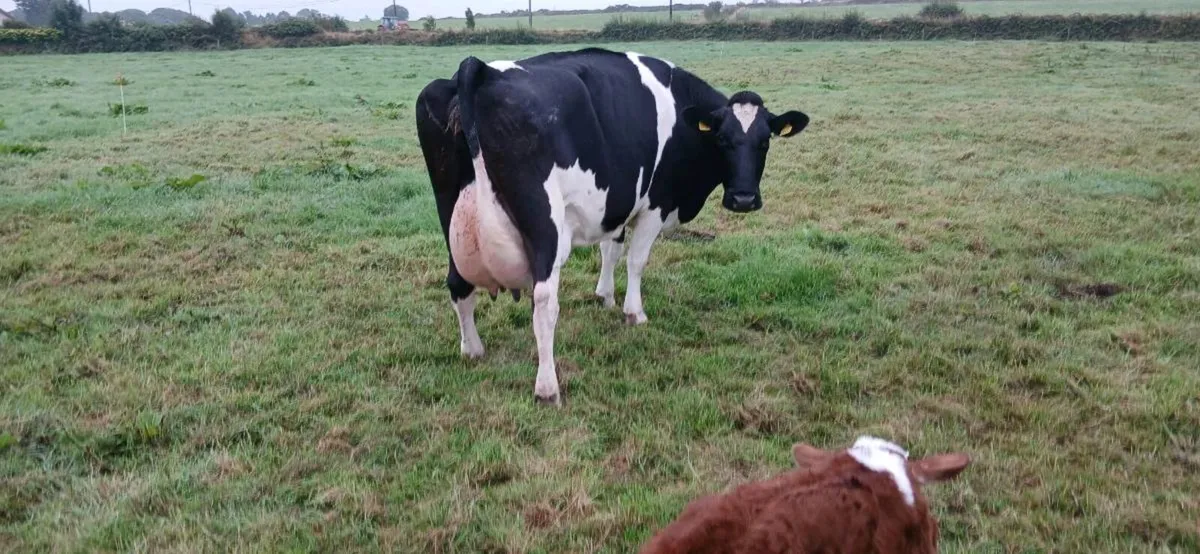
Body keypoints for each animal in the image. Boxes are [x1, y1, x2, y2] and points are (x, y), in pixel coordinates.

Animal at [415, 48, 811, 405]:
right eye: (723, 140)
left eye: (764, 142)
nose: (743, 199)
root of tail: (481, 69)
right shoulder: (655, 204)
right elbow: (636, 260)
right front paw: (634, 312)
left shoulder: (619, 202)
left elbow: (611, 249)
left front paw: (604, 295)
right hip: (545, 226)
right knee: (544, 303)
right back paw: (547, 387)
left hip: (449, 212)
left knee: (457, 284)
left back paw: (472, 349)